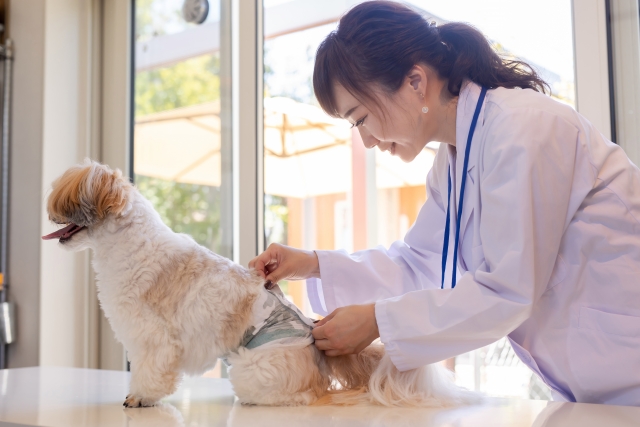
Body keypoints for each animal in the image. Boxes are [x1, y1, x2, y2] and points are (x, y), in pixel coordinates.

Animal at [41, 160, 480, 408]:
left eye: (63, 200)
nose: (48, 212)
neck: (127, 245)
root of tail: (314, 344)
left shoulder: (154, 339)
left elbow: (152, 372)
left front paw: (141, 397)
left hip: (253, 369)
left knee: (301, 393)